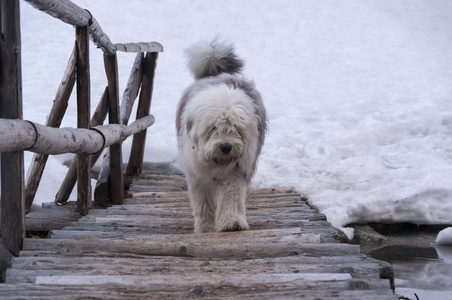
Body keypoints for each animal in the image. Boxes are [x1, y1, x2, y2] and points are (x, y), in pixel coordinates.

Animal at [177, 38, 266, 233]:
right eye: (213, 128)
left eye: (236, 127)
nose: (226, 147)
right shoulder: (197, 175)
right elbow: (203, 202)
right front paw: (205, 227)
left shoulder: (235, 170)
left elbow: (230, 195)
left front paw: (232, 223)